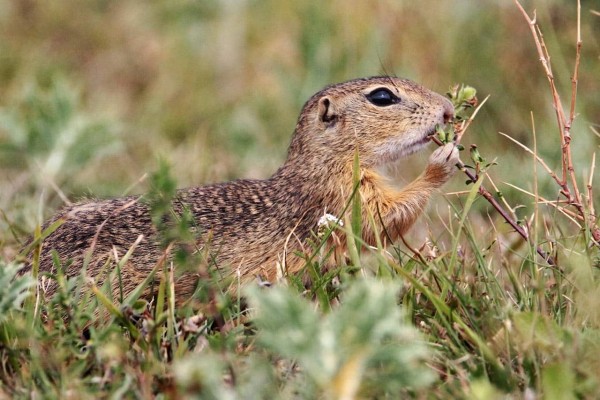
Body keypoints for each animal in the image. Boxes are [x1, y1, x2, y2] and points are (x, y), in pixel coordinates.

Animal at [24, 76, 460, 304]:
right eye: (382, 97)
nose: (449, 110)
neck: (319, 162)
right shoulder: (339, 198)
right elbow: (380, 220)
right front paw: (443, 159)